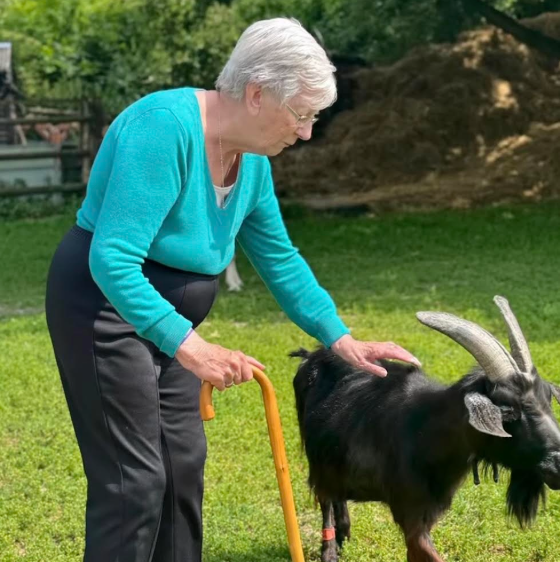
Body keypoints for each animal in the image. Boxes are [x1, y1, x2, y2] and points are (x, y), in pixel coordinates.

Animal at [291, 296, 560, 562]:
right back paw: (330, 551)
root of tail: (310, 356)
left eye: (547, 398)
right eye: (508, 410)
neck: (427, 433)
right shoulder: (410, 513)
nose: (556, 464)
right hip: (317, 461)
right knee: (325, 498)